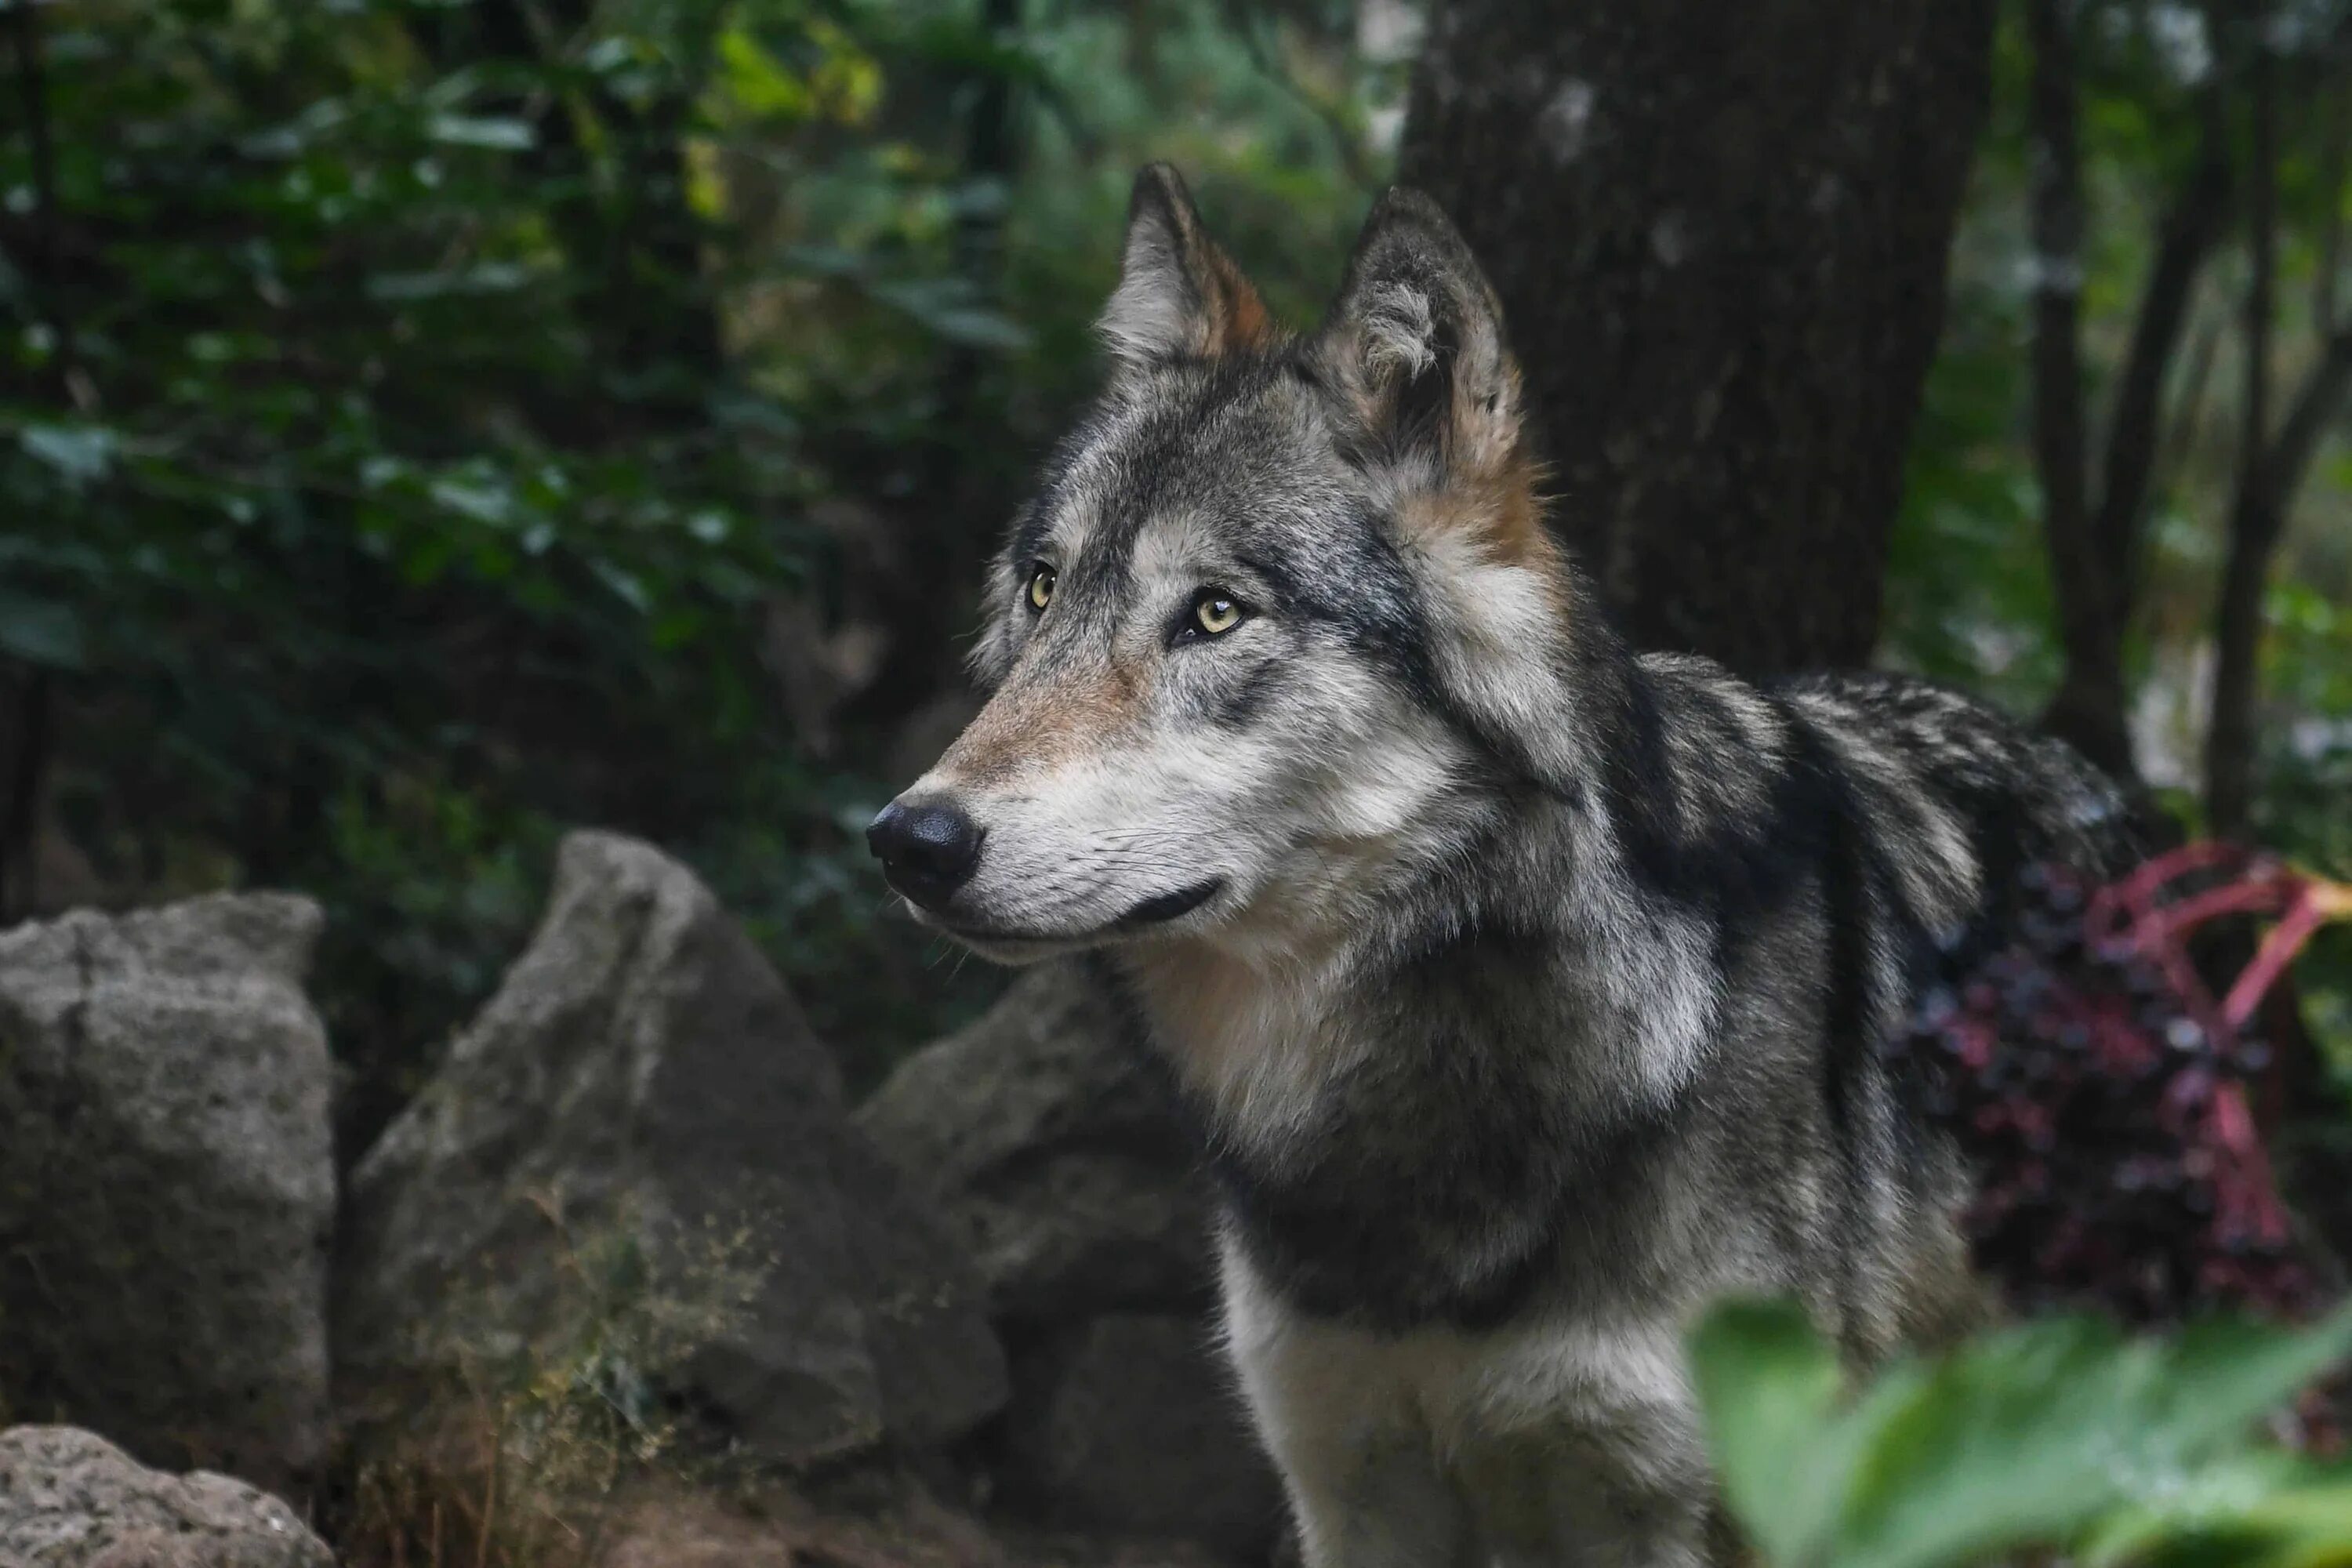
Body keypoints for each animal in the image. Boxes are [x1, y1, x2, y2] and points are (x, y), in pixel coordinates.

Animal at [866, 165, 2136, 1561]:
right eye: (1044, 590)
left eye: (1214, 613)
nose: (911, 840)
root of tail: (2097, 790)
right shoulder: (1350, 1484)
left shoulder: (1688, 1503)